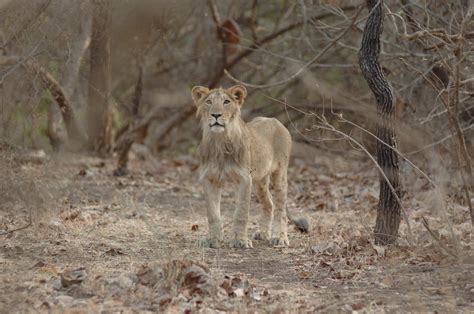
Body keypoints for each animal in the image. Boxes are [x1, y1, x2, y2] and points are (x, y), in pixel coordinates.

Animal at [191, 84, 302, 249]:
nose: (216, 115)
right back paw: (263, 233)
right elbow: (212, 214)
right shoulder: (210, 178)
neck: (220, 142)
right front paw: (213, 240)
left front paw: (240, 241)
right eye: (208, 102)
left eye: (226, 102)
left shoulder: (243, 179)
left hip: (280, 173)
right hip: (260, 181)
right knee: (269, 204)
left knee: (281, 209)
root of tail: (275, 120)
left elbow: (241, 212)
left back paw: (279, 237)